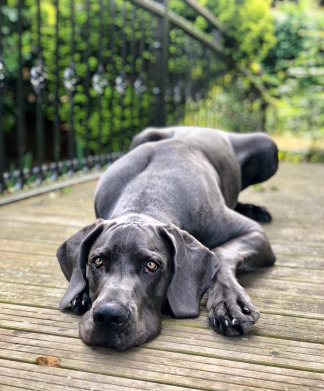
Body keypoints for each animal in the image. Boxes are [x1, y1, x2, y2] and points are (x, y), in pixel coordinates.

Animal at [57, 128, 278, 352]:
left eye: (151, 266)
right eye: (98, 261)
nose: (109, 316)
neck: (145, 197)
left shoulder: (252, 231)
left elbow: (221, 253)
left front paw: (229, 303)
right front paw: (81, 293)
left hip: (267, 147)